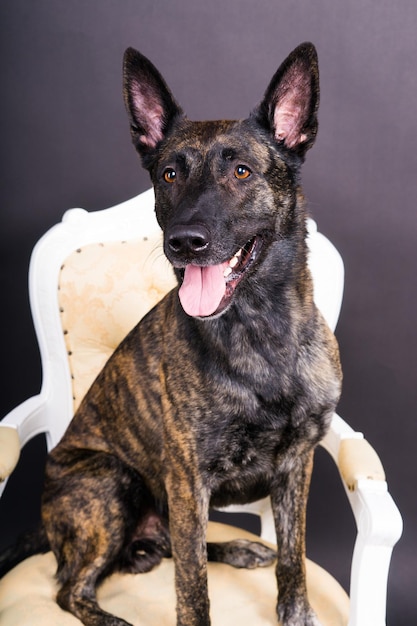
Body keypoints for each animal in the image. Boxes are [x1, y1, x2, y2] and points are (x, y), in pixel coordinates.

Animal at [2, 44, 342, 624]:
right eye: (167, 174)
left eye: (242, 171)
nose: (185, 241)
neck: (260, 330)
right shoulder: (187, 479)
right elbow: (192, 588)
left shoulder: (298, 464)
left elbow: (292, 556)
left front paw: (296, 612)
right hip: (111, 481)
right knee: (71, 586)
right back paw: (112, 617)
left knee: (171, 547)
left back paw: (237, 547)